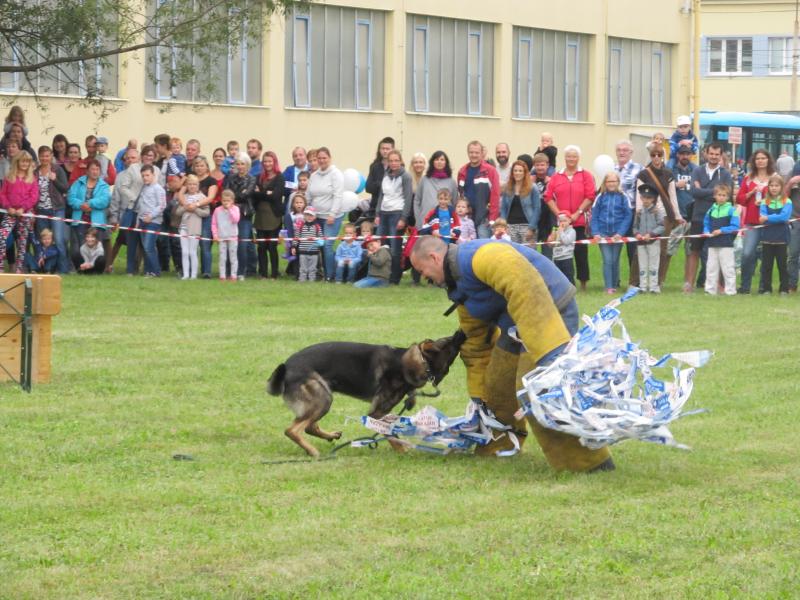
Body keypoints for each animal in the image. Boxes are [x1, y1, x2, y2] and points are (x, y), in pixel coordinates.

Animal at [266, 330, 466, 458]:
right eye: (447, 341)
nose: (461, 331)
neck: (407, 363)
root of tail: (286, 367)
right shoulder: (376, 412)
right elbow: (389, 432)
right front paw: (403, 450)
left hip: (320, 399)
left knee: (308, 426)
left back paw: (329, 436)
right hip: (323, 398)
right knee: (293, 429)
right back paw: (312, 451)